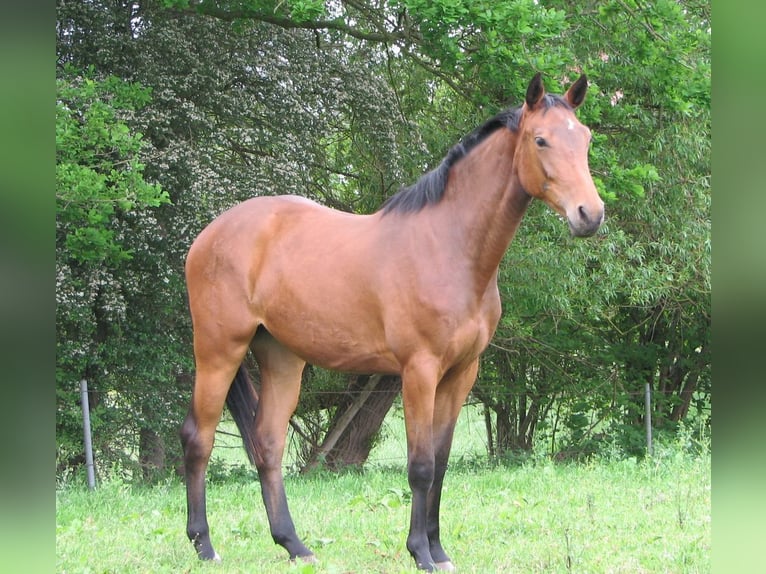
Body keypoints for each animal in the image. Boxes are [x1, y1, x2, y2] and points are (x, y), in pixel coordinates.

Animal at [182, 74, 608, 572]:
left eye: (585, 139)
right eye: (540, 140)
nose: (590, 214)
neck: (449, 247)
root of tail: (209, 234)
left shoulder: (461, 374)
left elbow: (441, 463)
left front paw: (440, 551)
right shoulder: (419, 372)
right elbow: (421, 465)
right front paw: (420, 552)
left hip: (282, 358)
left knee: (268, 445)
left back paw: (295, 545)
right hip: (219, 351)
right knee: (198, 439)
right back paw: (204, 546)